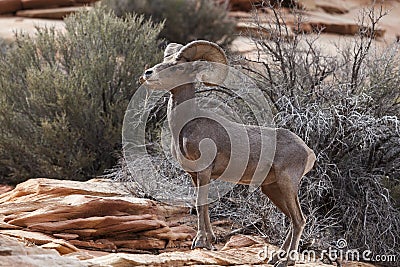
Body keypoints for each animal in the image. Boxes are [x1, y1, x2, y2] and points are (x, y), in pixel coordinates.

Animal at [140, 40, 316, 267]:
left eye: (179, 67)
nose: (148, 73)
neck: (185, 126)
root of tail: (308, 152)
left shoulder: (204, 171)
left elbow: (200, 204)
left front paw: (200, 242)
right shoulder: (195, 176)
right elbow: (203, 205)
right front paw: (210, 240)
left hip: (287, 184)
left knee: (299, 219)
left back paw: (286, 262)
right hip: (272, 188)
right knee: (292, 220)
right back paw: (277, 257)